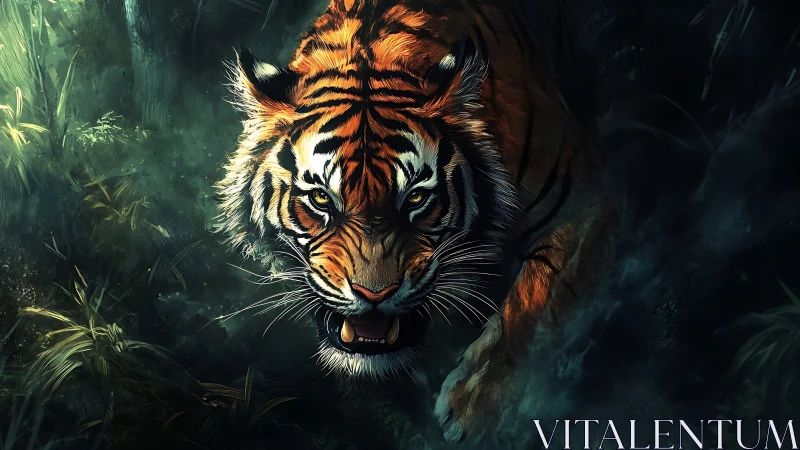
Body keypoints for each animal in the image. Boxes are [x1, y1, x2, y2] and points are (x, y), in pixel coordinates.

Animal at [215, 0, 616, 441]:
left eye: (416, 198)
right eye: (322, 198)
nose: (374, 295)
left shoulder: (582, 199)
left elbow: (531, 304)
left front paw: (471, 410)